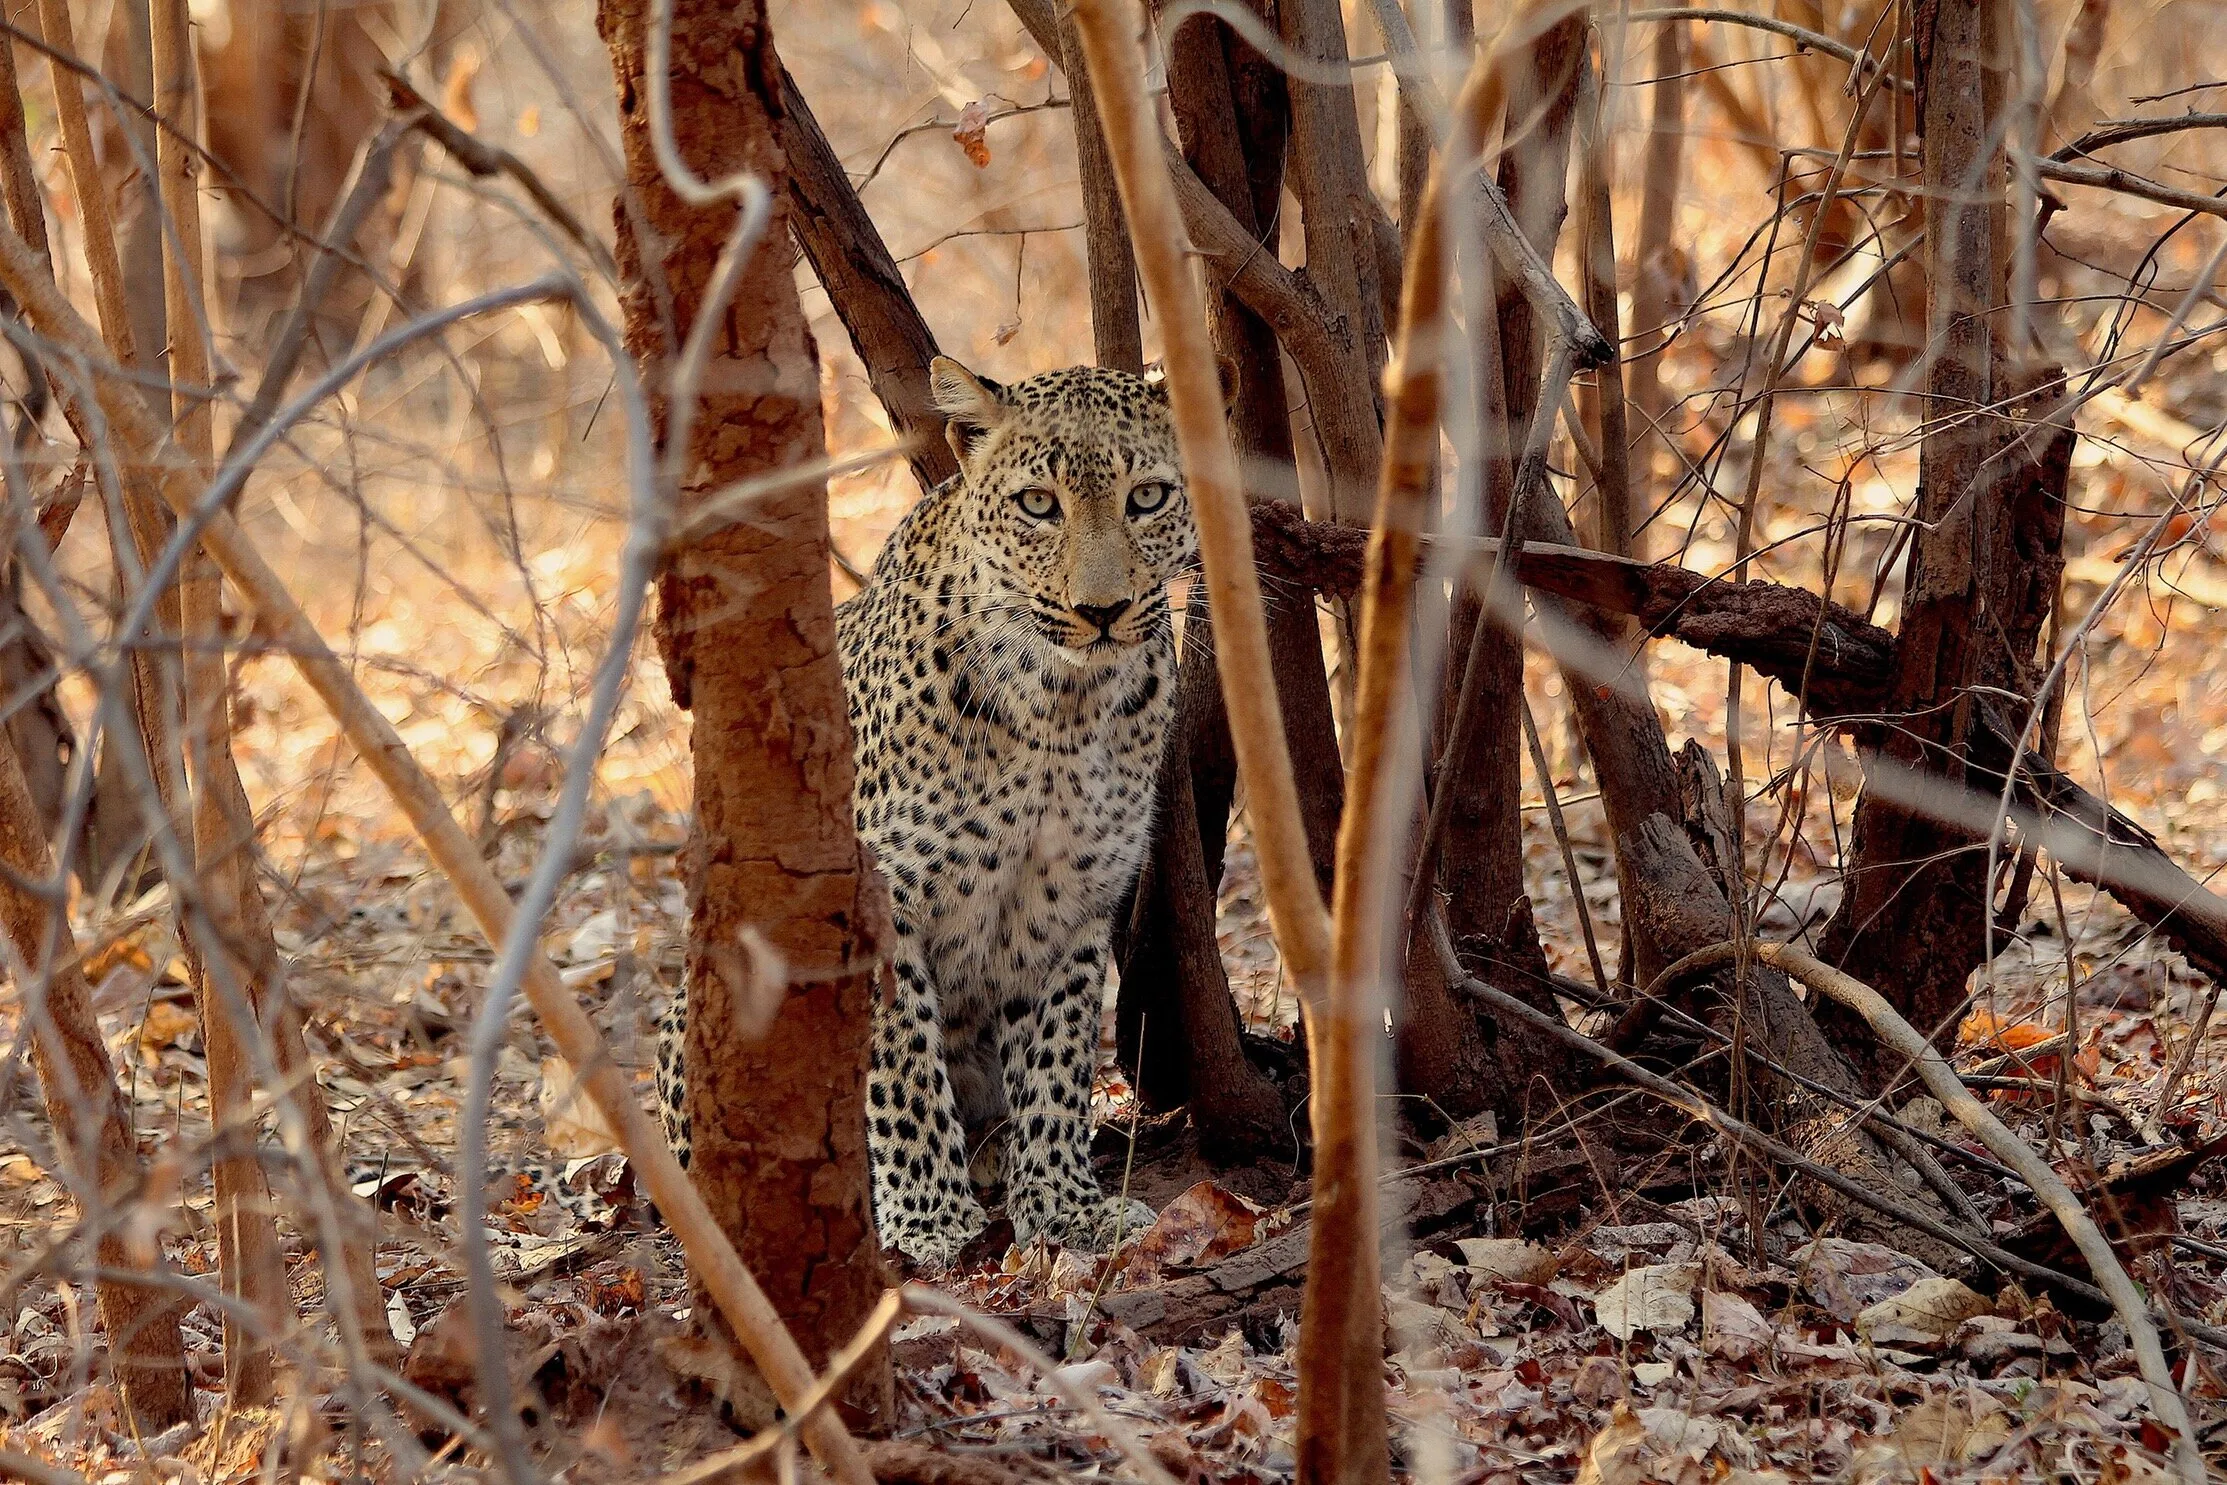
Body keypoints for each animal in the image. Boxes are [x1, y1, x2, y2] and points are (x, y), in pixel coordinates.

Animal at [655, 356, 1197, 1265]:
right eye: (1038, 504)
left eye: (1147, 497)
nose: (1101, 611)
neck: (1062, 709)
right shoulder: (881, 899)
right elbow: (902, 1061)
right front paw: (931, 1216)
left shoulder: (1073, 905)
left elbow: (1056, 1060)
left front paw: (1064, 1205)